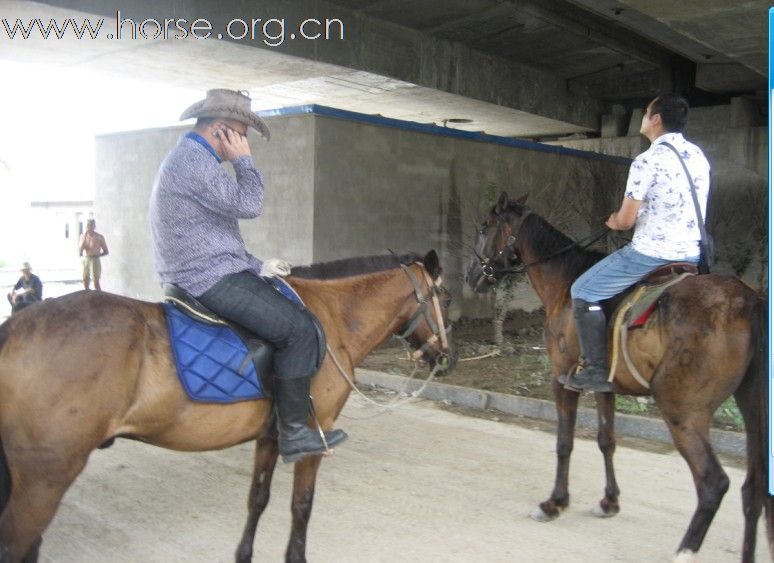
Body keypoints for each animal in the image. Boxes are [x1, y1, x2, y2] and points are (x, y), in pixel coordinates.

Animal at [0, 252, 454, 563]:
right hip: (44, 479)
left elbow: (258, 499)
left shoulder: (272, 437)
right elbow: (301, 508)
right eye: (445, 299)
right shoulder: (315, 435)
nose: (447, 356)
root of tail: (16, 327)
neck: (332, 318)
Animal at [464, 193, 772, 560]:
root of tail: (750, 301)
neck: (565, 282)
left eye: (485, 227)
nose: (471, 277)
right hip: (752, 407)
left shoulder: (561, 378)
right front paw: (609, 501)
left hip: (682, 410)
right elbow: (606, 440)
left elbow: (564, 442)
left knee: (713, 483)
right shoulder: (605, 386)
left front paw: (555, 503)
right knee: (754, 489)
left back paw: (685, 550)